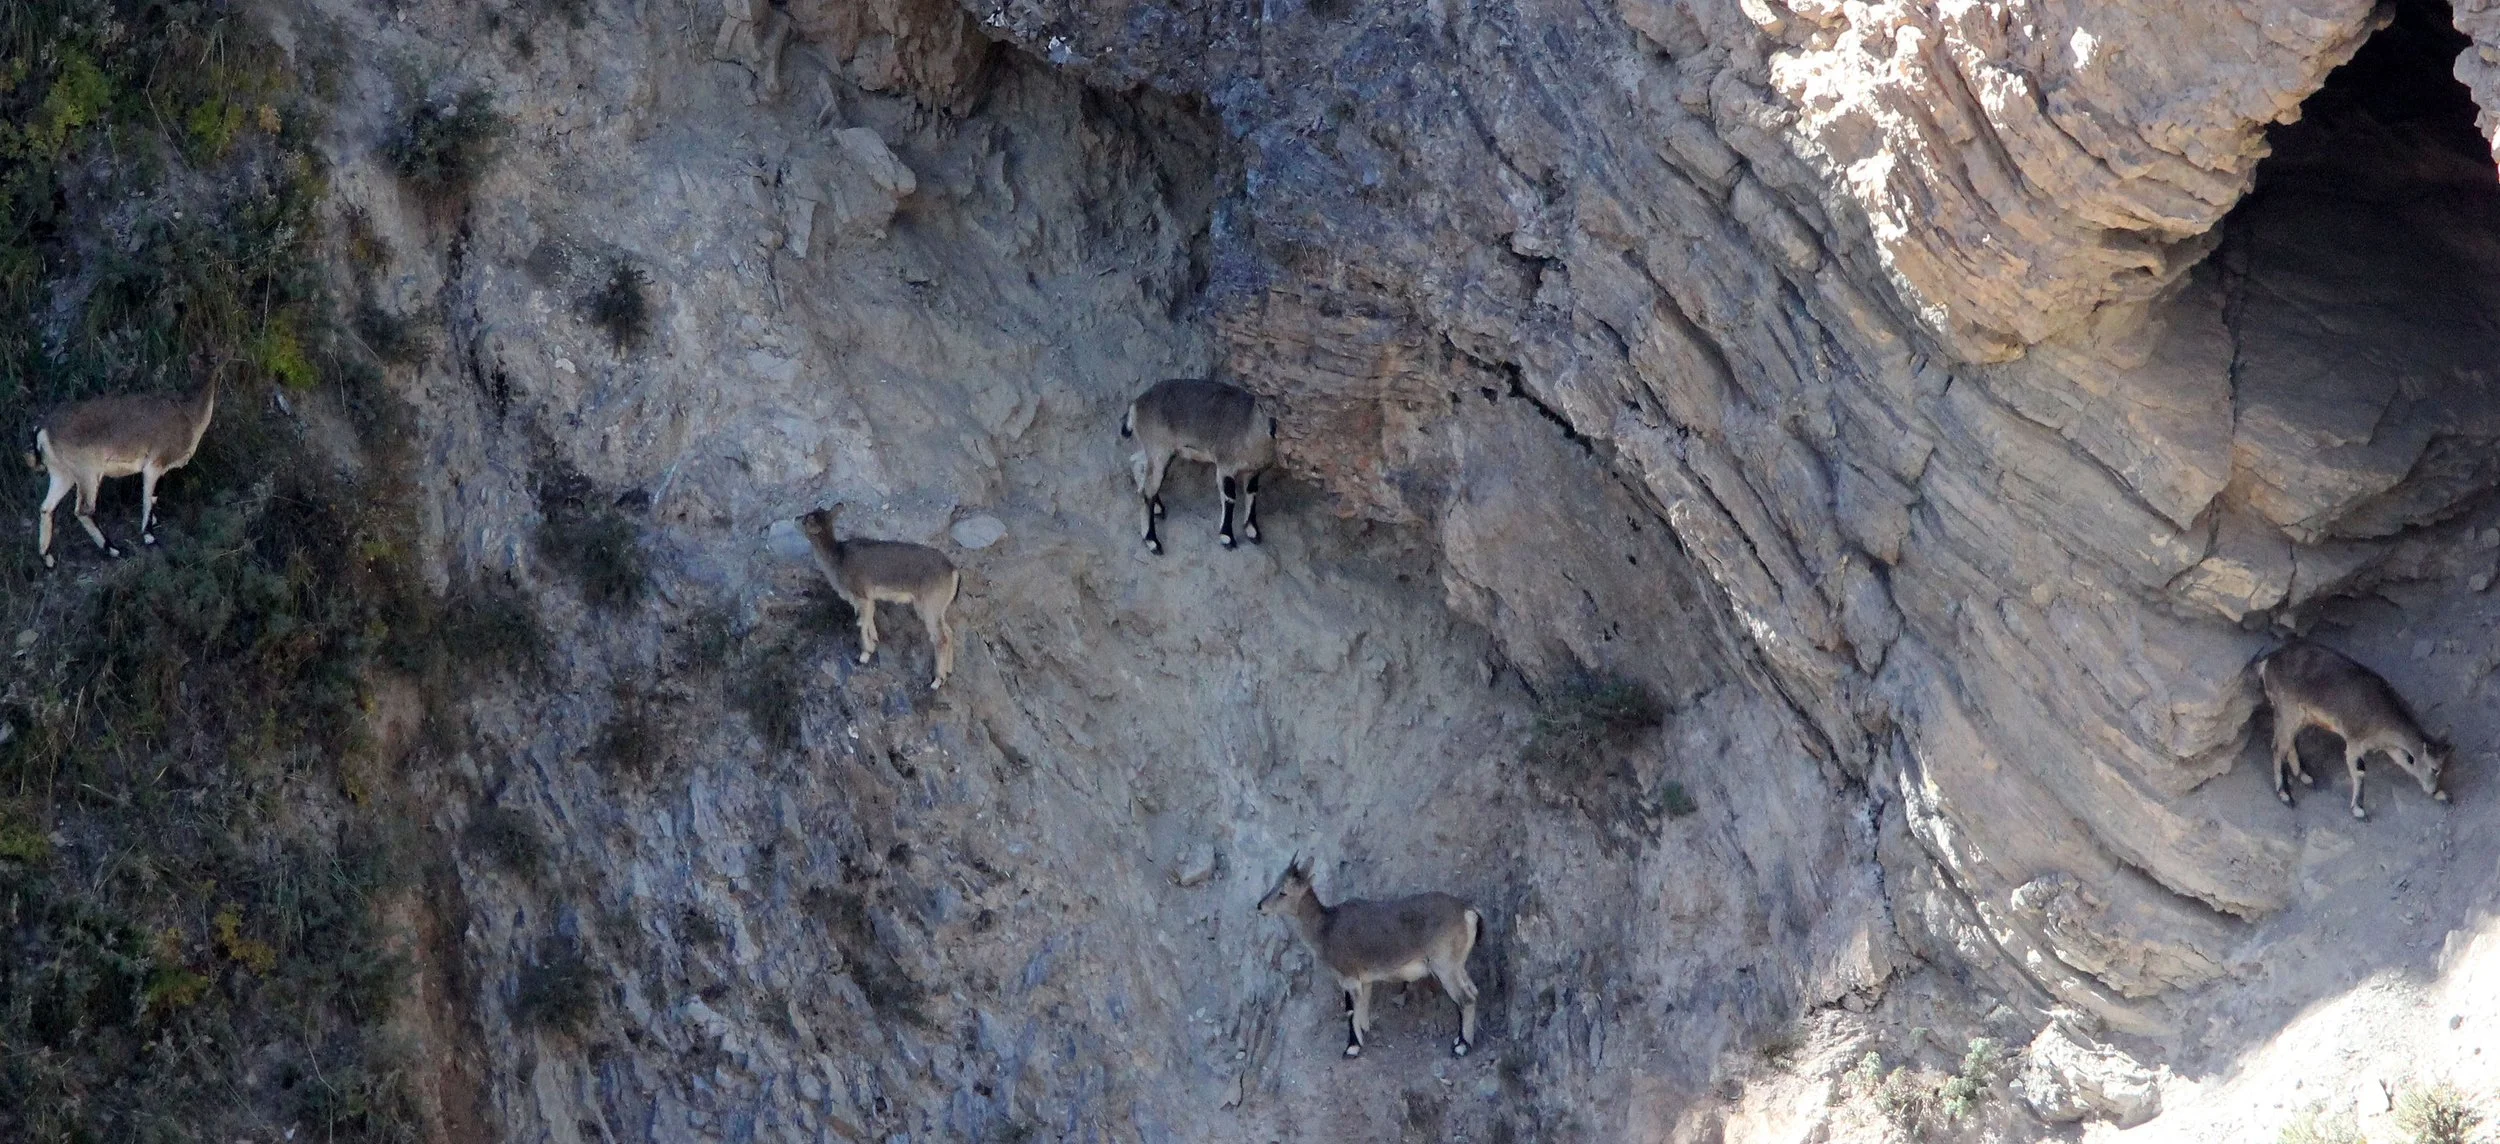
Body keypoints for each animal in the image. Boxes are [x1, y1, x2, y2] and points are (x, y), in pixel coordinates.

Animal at [27, 376, 220, 568]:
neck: (188, 415)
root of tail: (42, 430)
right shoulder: (154, 464)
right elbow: (148, 497)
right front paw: (149, 536)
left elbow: (154, 496)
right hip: (87, 472)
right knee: (83, 510)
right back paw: (113, 549)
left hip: (62, 473)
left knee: (47, 507)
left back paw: (48, 558)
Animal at [797, 505, 961, 689]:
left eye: (807, 519)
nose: (796, 518)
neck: (837, 561)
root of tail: (953, 571)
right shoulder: (869, 600)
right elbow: (869, 621)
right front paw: (874, 642)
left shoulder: (861, 597)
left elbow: (861, 623)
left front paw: (864, 655)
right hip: (938, 609)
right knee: (949, 632)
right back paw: (948, 671)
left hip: (929, 608)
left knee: (941, 638)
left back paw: (936, 681)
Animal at [1121, 378, 1276, 554]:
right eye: (1261, 406)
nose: (1273, 429)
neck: (1248, 426)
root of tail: (1136, 405)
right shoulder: (1225, 467)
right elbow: (1230, 498)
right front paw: (1227, 537)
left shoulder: (1253, 472)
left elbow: (1252, 494)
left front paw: (1252, 531)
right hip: (1159, 450)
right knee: (1146, 492)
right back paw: (1152, 541)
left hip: (1156, 451)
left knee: (1137, 463)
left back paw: (1158, 508)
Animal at [1257, 855, 1482, 1059]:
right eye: (1275, 883)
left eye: (1283, 892)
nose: (1260, 906)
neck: (1325, 929)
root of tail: (1468, 912)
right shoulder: (1364, 980)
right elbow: (1361, 1008)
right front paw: (1363, 1033)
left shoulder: (1348, 976)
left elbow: (1351, 1011)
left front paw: (1351, 1048)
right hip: (1457, 965)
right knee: (1473, 990)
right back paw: (1461, 1040)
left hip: (1444, 967)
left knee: (1466, 999)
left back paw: (1461, 1047)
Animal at [2258, 639, 2452, 820]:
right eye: (2435, 768)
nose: (2432, 789)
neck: (2384, 717)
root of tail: (2269, 662)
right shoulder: (2355, 743)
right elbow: (2359, 771)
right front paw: (2359, 810)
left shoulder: (2390, 747)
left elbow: (2404, 761)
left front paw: (2441, 796)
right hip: (2288, 712)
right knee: (2278, 748)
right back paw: (2285, 794)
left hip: (2298, 717)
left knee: (2287, 743)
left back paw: (2304, 776)